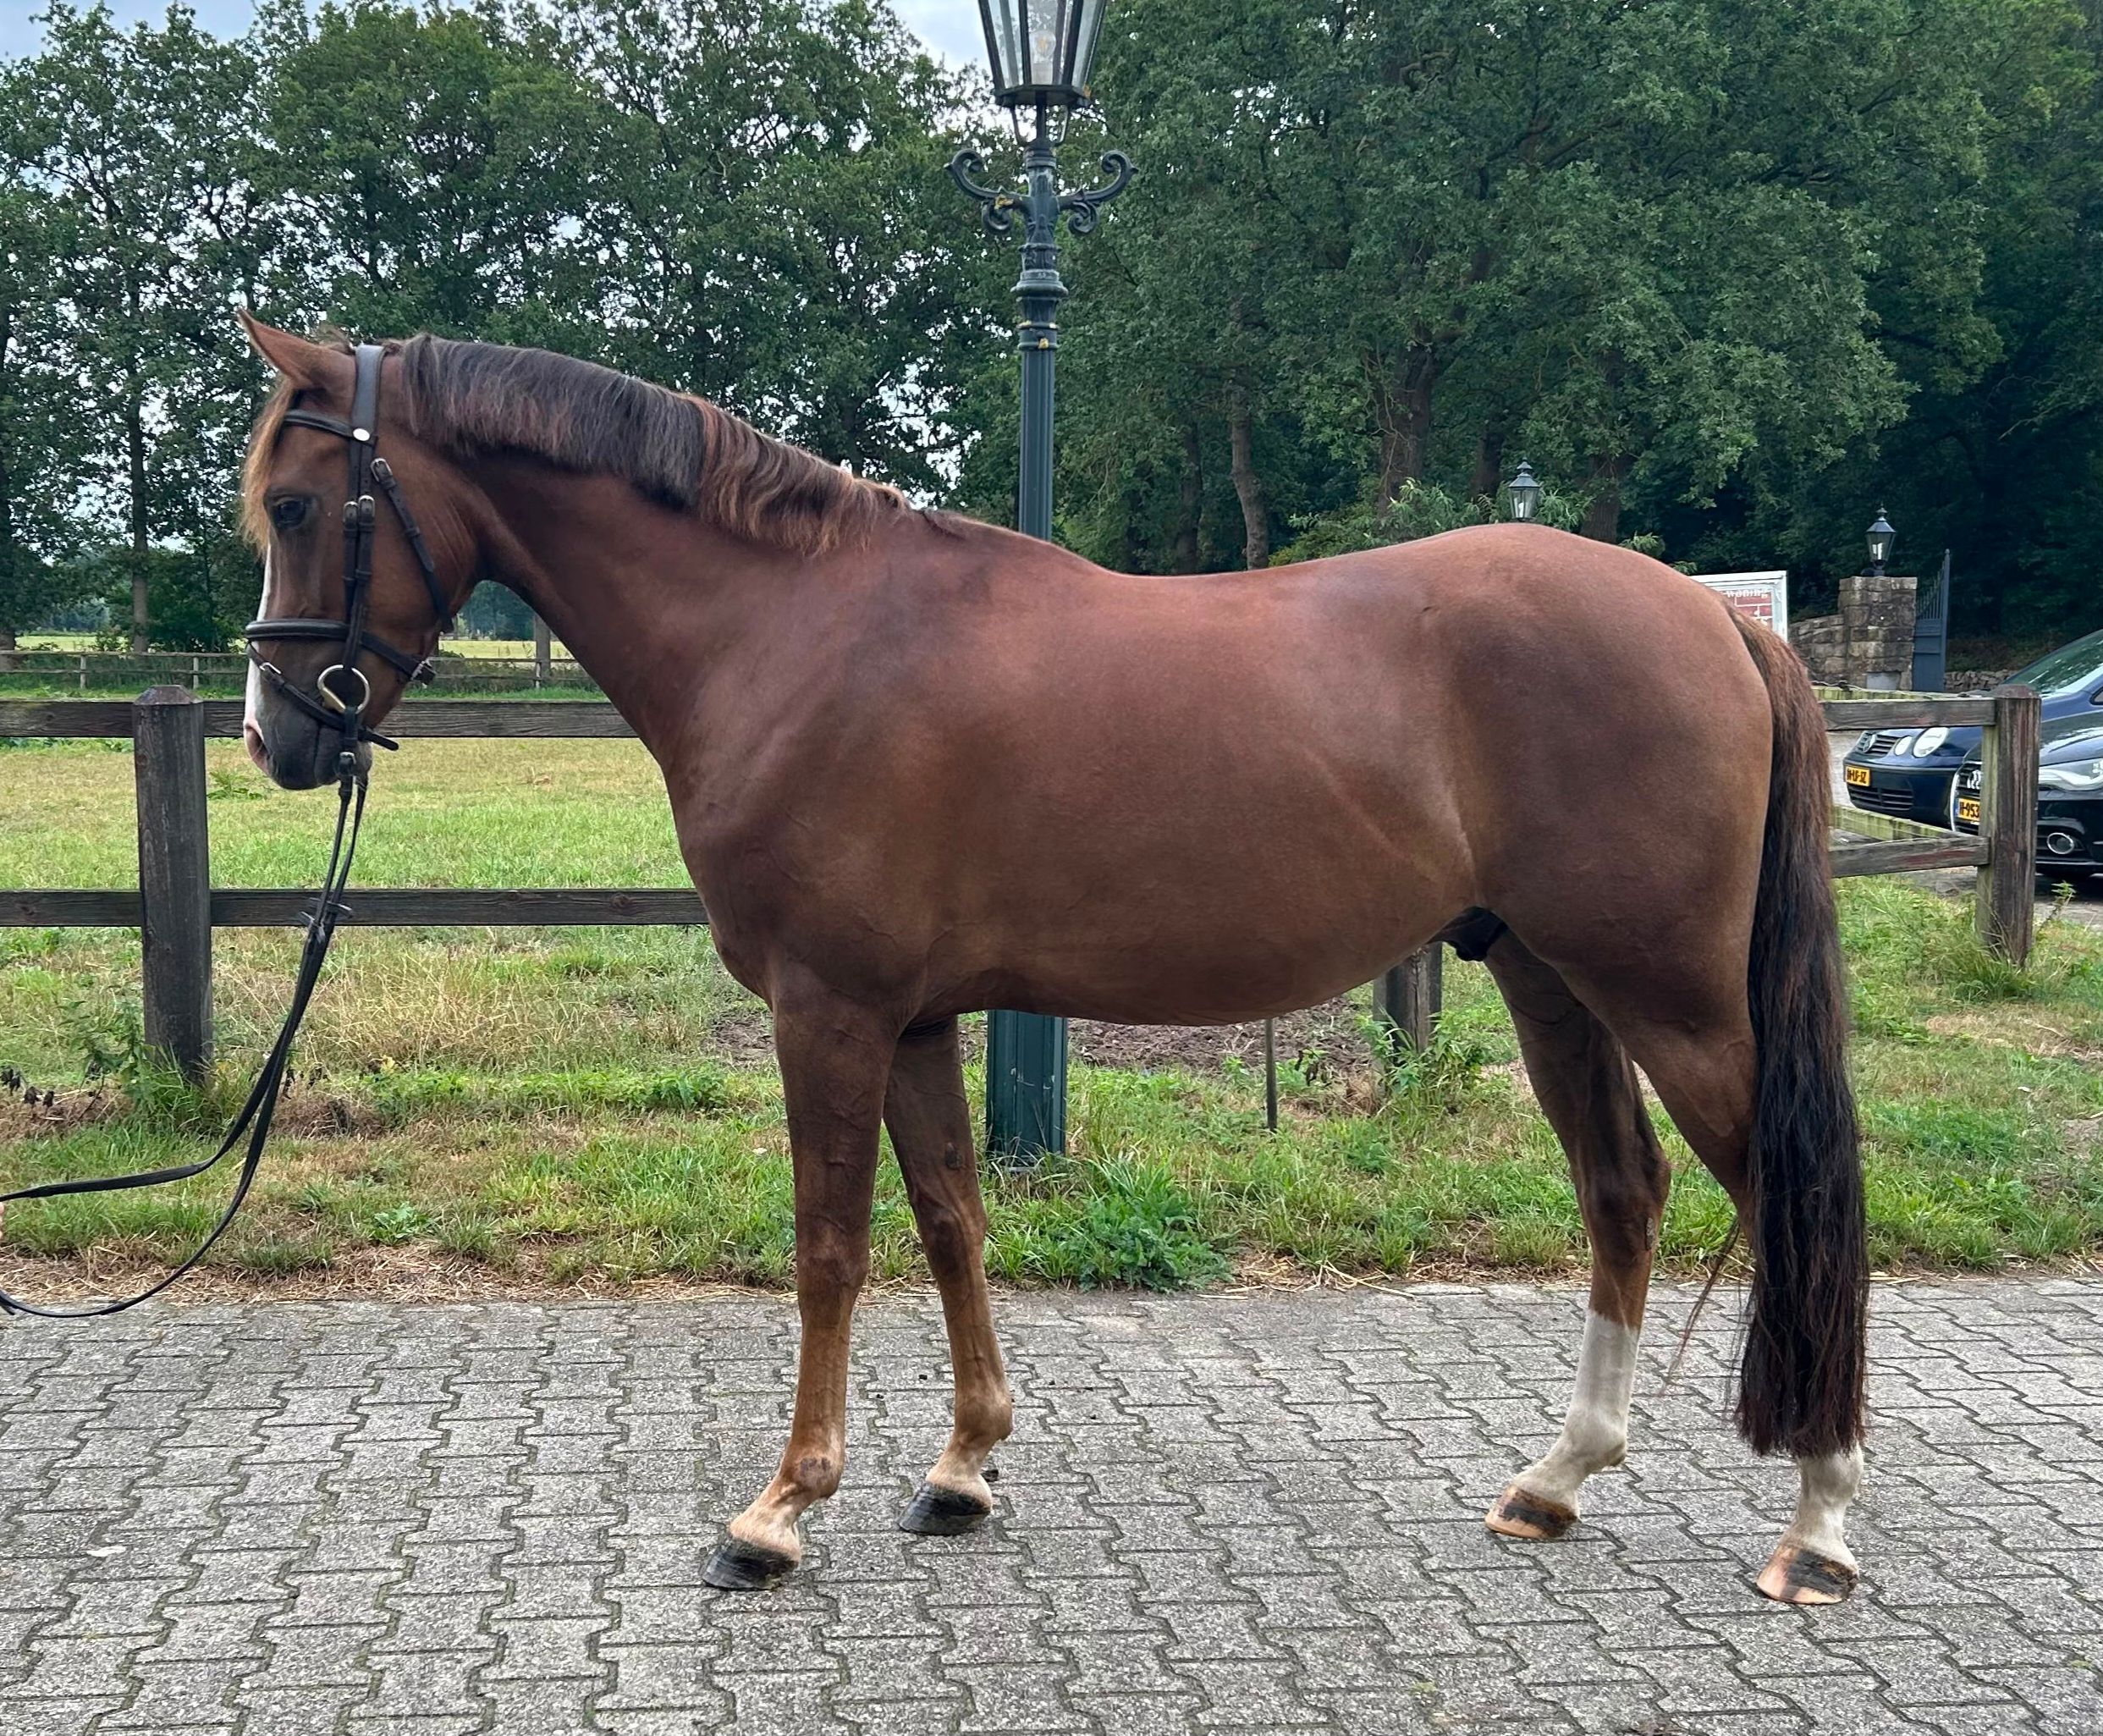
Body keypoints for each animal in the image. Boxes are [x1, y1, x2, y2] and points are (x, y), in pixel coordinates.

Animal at [236, 315, 1869, 1606]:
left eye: (301, 500)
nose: (277, 739)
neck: (792, 632)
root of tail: (1715, 618)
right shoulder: (909, 1019)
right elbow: (952, 1218)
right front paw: (962, 1467)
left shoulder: (830, 1013)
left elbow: (831, 1245)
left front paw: (780, 1507)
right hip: (1549, 978)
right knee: (1623, 1192)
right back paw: (1557, 1479)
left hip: (1674, 999)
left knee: (1783, 1198)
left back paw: (1821, 1522)